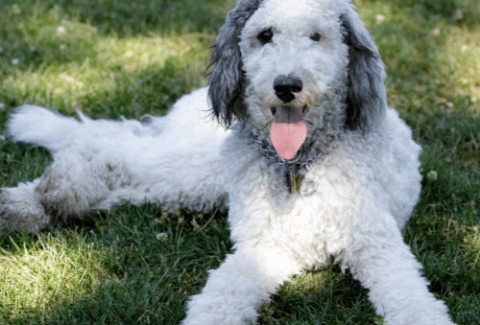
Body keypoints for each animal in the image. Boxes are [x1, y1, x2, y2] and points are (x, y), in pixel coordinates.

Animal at [0, 0, 458, 324]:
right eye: (265, 35)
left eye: (317, 35)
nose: (287, 85)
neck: (298, 165)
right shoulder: (263, 246)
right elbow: (220, 299)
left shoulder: (373, 246)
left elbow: (413, 301)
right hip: (198, 169)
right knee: (111, 149)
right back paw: (47, 193)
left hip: (189, 187)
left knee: (125, 179)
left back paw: (39, 206)